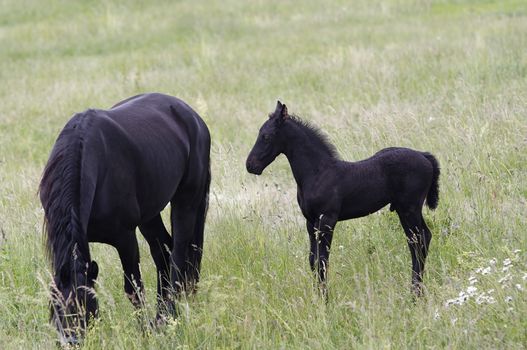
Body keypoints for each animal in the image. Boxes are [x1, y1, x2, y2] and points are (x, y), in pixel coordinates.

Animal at [40, 93, 211, 344]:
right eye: (56, 308)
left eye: (84, 305)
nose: (71, 342)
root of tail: (193, 117)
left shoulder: (125, 238)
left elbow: (134, 289)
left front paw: (144, 333)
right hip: (149, 216)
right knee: (163, 252)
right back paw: (161, 318)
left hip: (186, 202)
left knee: (179, 255)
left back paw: (170, 313)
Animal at [248, 100, 442, 298]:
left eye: (266, 136)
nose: (250, 165)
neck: (318, 172)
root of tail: (424, 156)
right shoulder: (310, 222)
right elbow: (313, 260)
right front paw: (317, 297)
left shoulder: (327, 220)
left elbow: (322, 260)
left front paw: (325, 299)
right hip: (406, 210)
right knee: (420, 240)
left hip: (409, 208)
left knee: (419, 241)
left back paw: (415, 293)